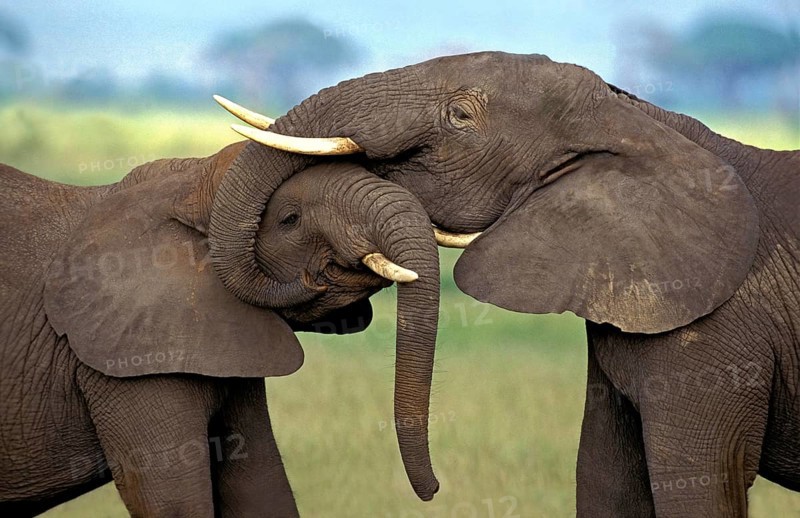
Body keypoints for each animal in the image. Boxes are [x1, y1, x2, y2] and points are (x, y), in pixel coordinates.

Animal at [0, 150, 440, 516]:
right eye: (290, 220)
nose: (433, 490)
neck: (186, 183)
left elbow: (261, 487)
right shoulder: (128, 360)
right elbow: (173, 502)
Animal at [212, 50, 799, 516]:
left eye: (460, 116)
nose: (434, 490)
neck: (634, 118)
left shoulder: (722, 335)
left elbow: (699, 482)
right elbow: (605, 479)